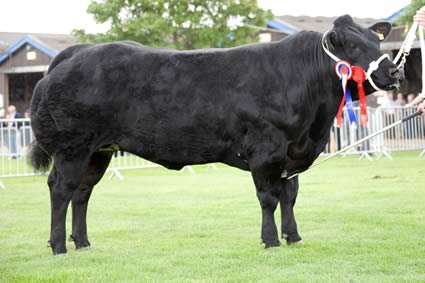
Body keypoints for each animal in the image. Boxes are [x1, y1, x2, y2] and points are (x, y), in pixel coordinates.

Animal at [29, 15, 400, 255]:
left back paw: (82, 242)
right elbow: (269, 197)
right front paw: (270, 240)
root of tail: (77, 52)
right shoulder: (267, 149)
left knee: (82, 193)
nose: (395, 70)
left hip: (98, 151)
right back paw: (59, 246)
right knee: (61, 189)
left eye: (376, 40)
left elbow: (290, 195)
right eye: (352, 45)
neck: (314, 126)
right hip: (72, 149)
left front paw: (293, 237)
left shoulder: (292, 152)